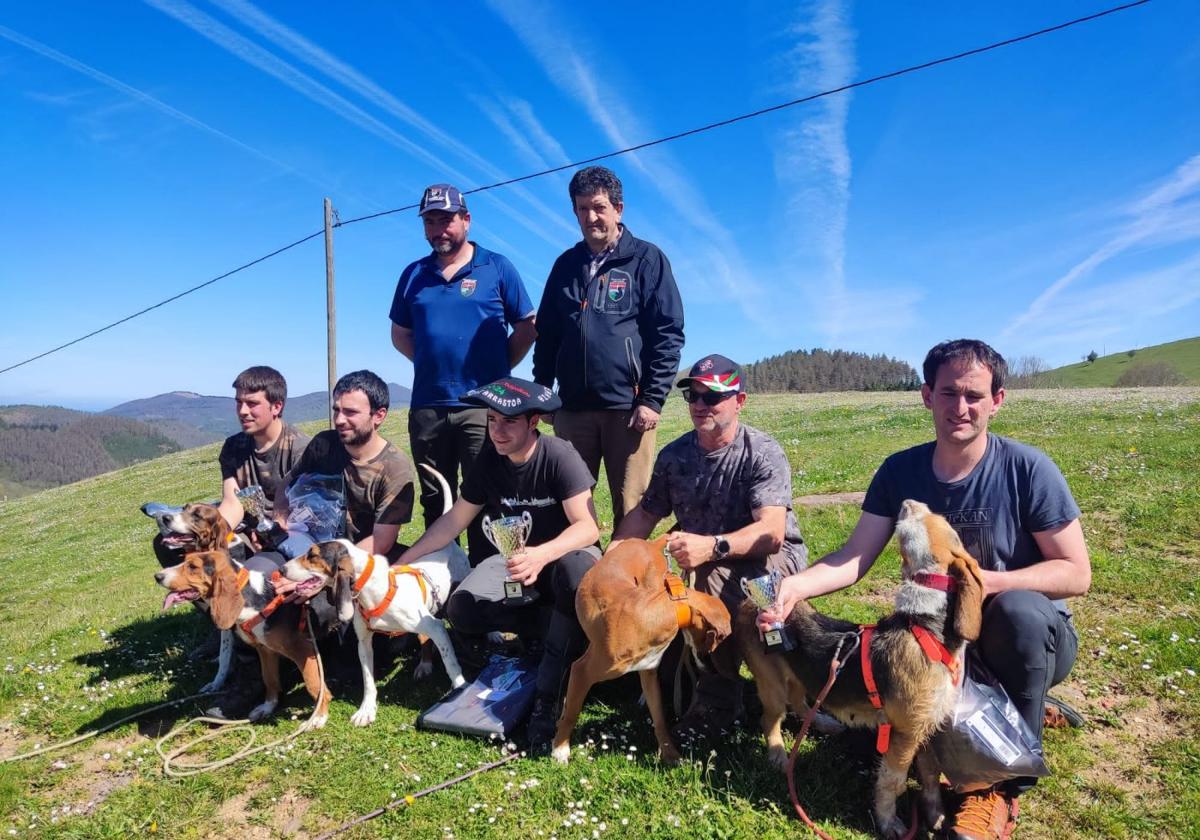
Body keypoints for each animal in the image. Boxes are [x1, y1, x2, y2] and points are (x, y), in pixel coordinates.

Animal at [157, 547, 333, 724]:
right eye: (184, 560)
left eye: (193, 566)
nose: (157, 576)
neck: (254, 600)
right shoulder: (265, 650)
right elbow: (269, 679)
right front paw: (267, 707)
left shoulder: (303, 651)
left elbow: (314, 685)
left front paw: (319, 716)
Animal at [552, 535, 729, 763]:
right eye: (720, 638)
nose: (713, 671)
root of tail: (651, 544)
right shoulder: (582, 671)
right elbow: (572, 713)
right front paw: (560, 748)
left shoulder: (649, 670)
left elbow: (660, 719)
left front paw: (669, 753)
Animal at [739, 499, 984, 835]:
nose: (907, 502)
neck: (923, 626)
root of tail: (750, 604)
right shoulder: (905, 734)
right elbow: (892, 783)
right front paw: (888, 822)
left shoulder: (924, 727)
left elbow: (930, 775)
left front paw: (934, 814)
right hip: (771, 684)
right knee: (770, 719)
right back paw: (777, 755)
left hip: (802, 674)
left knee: (801, 701)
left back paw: (824, 723)